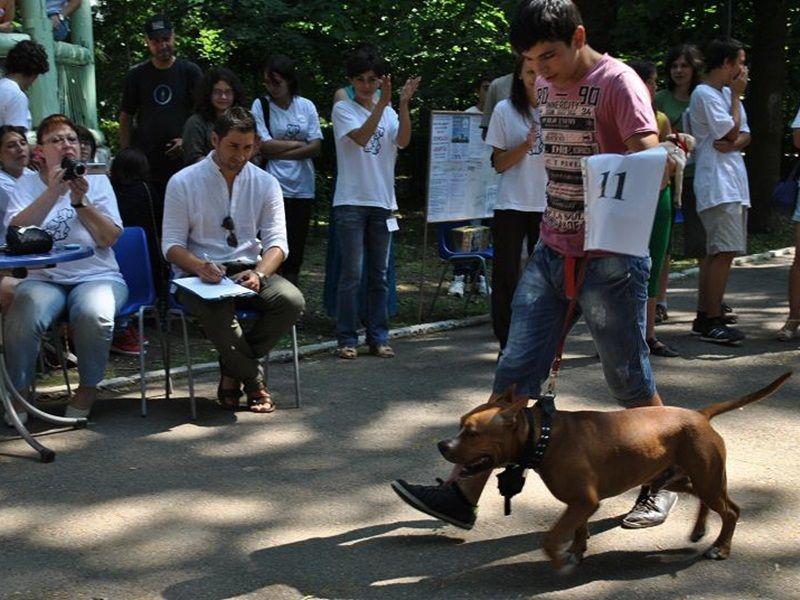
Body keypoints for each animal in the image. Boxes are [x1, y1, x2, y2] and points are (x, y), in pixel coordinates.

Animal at [437, 372, 791, 571]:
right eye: (460, 425)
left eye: (471, 432)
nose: (442, 444)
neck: (543, 434)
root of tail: (700, 415)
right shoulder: (580, 503)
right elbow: (577, 530)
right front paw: (576, 552)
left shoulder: (583, 502)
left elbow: (550, 539)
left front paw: (562, 562)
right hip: (682, 478)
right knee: (711, 502)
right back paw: (700, 530)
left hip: (704, 478)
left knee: (731, 511)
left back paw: (721, 548)